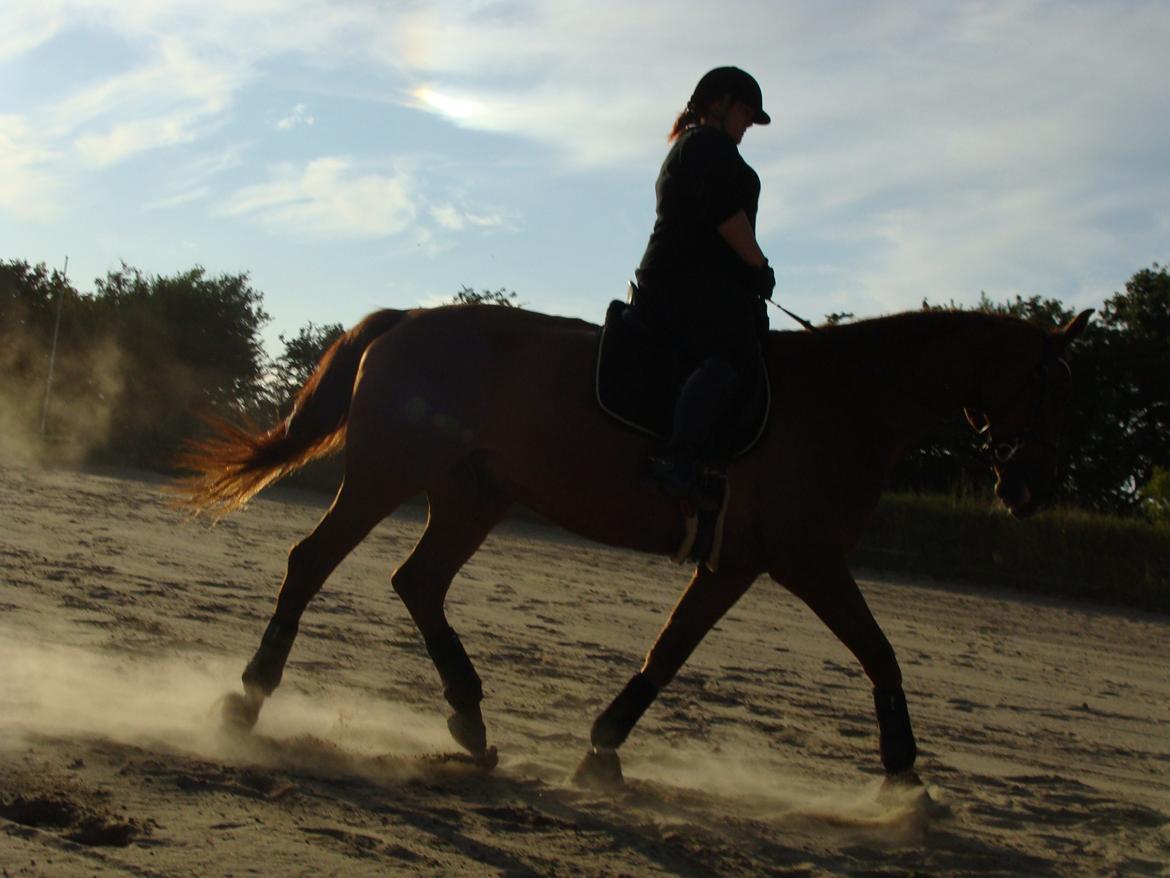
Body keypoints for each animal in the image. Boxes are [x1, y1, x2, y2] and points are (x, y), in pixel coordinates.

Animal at [177, 304, 1090, 791]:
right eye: (1049, 384)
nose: (1034, 487)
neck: (850, 402)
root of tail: (411, 320)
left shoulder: (739, 563)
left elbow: (670, 651)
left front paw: (603, 748)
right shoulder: (805, 560)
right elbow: (879, 654)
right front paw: (905, 779)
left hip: (473, 495)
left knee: (419, 583)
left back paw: (469, 717)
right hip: (386, 475)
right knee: (313, 563)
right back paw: (248, 697)